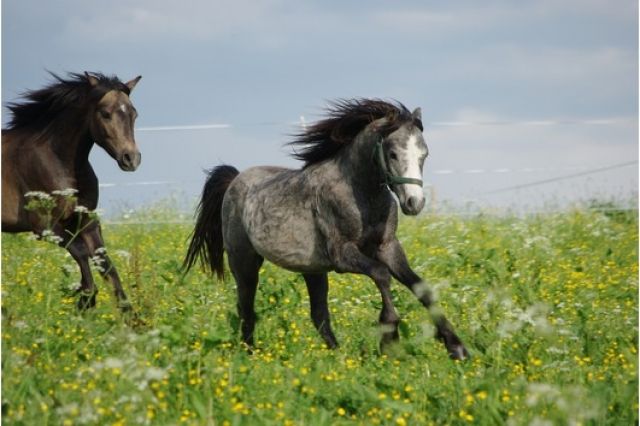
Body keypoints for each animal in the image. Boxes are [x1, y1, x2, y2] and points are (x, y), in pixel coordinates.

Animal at [2, 72, 142, 312]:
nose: (131, 159)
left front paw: (130, 316)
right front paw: (85, 299)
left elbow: (107, 267)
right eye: (105, 113)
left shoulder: (87, 222)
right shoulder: (44, 226)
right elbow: (82, 253)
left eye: (134, 113)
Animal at [184, 99, 468, 360]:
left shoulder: (388, 246)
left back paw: (338, 356)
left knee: (318, 314)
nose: (414, 203)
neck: (361, 194)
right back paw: (250, 353)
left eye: (424, 155)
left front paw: (456, 347)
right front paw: (389, 337)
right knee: (246, 307)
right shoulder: (342, 255)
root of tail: (235, 180)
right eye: (393, 154)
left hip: (313, 270)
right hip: (244, 261)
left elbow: (421, 287)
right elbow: (381, 274)